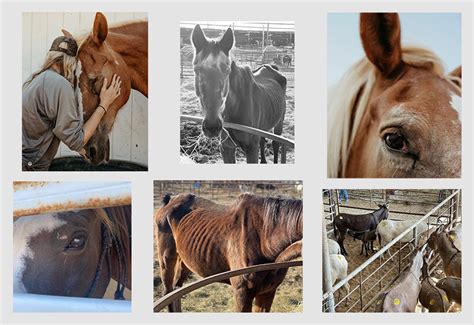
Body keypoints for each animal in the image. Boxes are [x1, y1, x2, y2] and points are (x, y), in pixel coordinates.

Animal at [156, 192, 304, 312]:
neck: (264, 239)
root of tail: (170, 200)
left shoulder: (268, 292)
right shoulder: (242, 293)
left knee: (176, 290)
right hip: (166, 260)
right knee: (168, 291)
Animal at [191, 24, 286, 163]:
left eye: (227, 70)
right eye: (196, 70)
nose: (212, 126)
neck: (235, 109)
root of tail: (270, 67)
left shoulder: (251, 149)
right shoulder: (226, 148)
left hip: (279, 121)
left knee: (276, 143)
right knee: (263, 141)